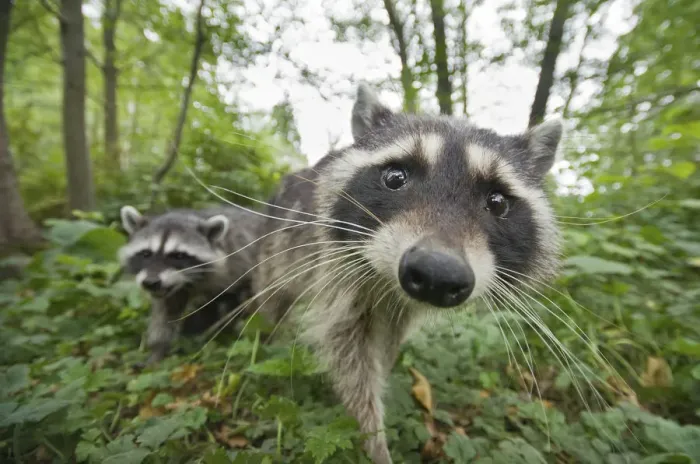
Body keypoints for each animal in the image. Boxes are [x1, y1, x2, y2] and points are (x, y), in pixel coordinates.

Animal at [118, 206, 262, 365]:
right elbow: (166, 314)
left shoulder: (241, 259)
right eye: (146, 253)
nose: (151, 282)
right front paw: (158, 349)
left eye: (178, 256)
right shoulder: (169, 291)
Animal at [251, 83, 563, 463]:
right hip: (276, 246)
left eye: (498, 202)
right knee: (273, 297)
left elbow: (385, 346)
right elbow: (349, 355)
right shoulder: (337, 272)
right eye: (395, 177)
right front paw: (373, 438)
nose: (437, 274)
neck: (387, 287)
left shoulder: (398, 308)